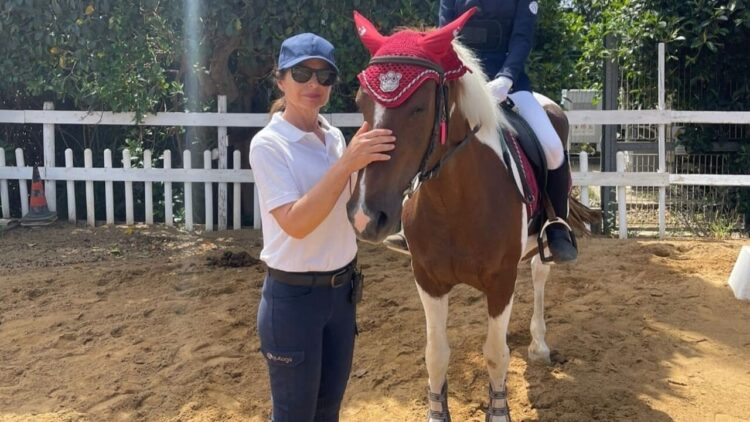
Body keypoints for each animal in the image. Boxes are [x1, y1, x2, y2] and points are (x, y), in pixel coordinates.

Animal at [346, 8, 599, 422]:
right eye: (361, 102)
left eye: (419, 107)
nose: (366, 216)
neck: (454, 201)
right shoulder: (428, 279)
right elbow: (436, 355)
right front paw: (437, 410)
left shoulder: (500, 281)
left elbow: (496, 355)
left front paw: (498, 410)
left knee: (539, 275)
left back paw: (539, 345)